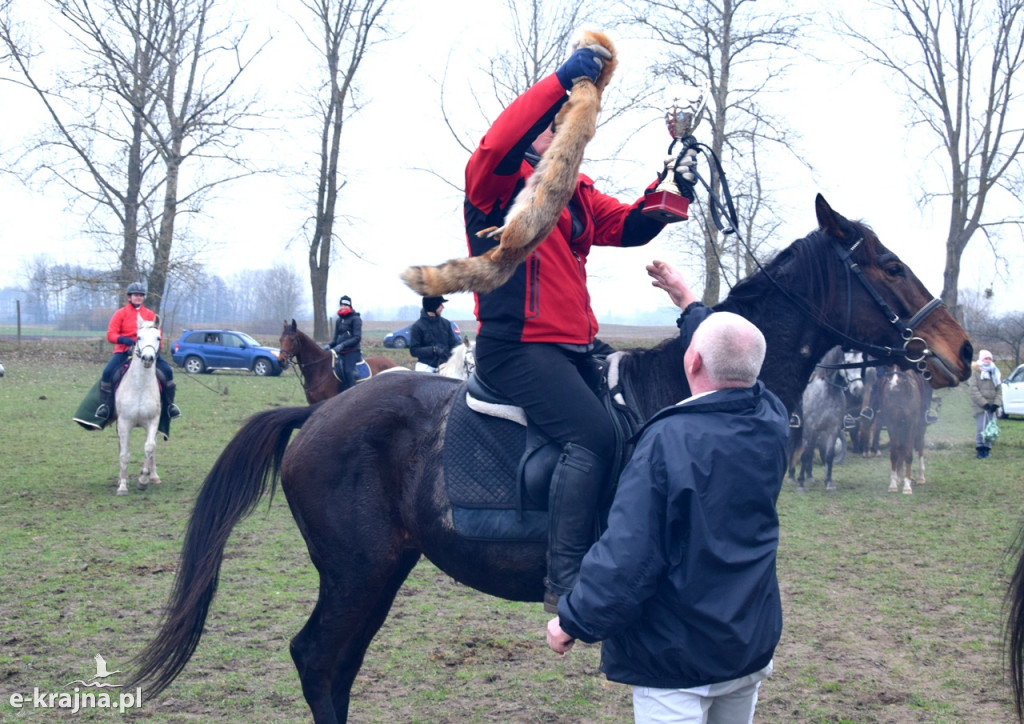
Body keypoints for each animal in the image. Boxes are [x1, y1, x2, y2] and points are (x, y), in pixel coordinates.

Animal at [115, 313, 162, 495]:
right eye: (138, 337)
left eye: (158, 337)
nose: (147, 359)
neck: (140, 387)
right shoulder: (124, 423)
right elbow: (124, 454)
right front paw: (122, 485)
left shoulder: (153, 421)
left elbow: (149, 447)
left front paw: (144, 479)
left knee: (153, 448)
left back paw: (153, 476)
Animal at [132, 195, 970, 720]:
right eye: (889, 265)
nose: (961, 349)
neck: (684, 391)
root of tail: (322, 411)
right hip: (357, 572)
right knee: (317, 661)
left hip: (376, 571)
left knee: (333, 666)